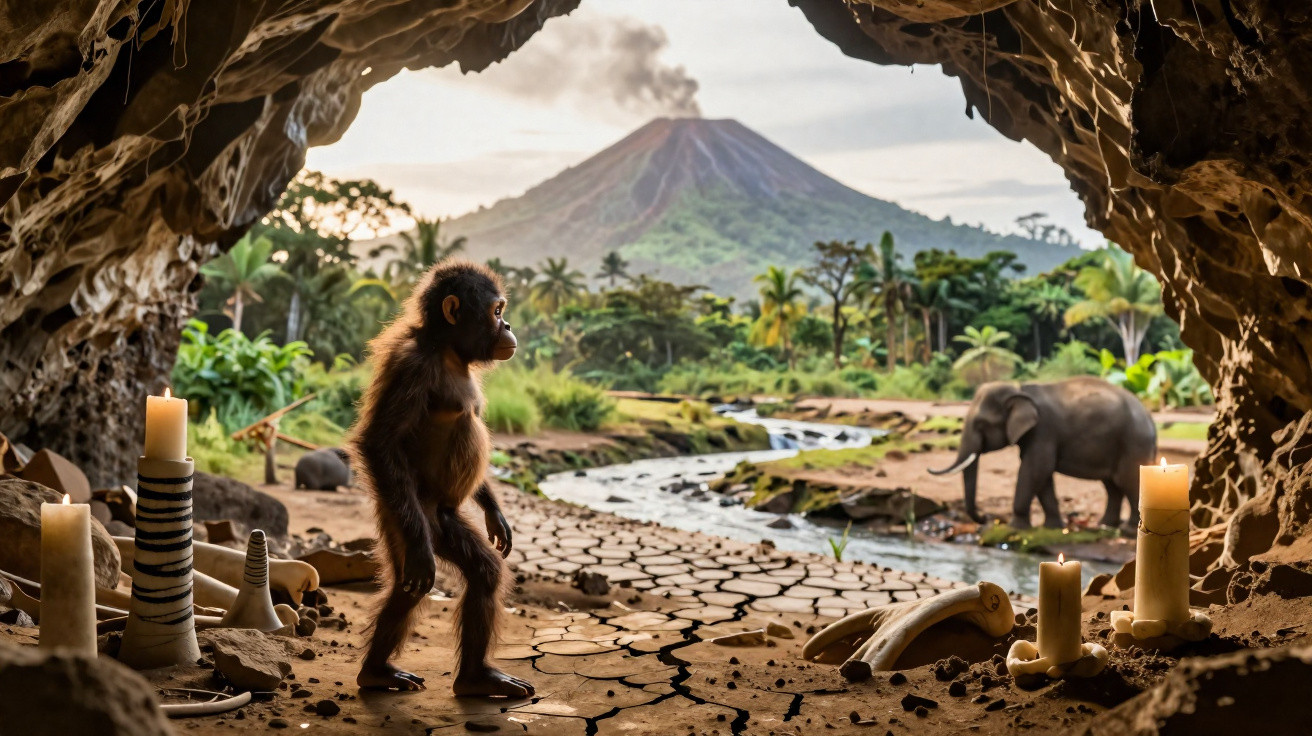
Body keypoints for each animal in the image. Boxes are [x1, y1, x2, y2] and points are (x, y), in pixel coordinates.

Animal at [349, 260, 533, 698]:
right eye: (496, 312)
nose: (508, 324)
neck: (447, 351)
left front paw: (496, 515)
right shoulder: (412, 367)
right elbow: (379, 443)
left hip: (444, 519)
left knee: (484, 572)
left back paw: (474, 678)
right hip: (404, 514)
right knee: (411, 579)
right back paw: (375, 672)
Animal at [928, 377, 1156, 530]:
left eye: (981, 424)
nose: (985, 518)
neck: (1019, 390)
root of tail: (1151, 419)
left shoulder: (1043, 430)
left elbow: (1036, 469)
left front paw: (1015, 527)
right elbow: (1041, 475)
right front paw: (1052, 527)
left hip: (1134, 442)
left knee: (1128, 480)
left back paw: (1127, 530)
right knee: (1112, 485)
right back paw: (1105, 526)